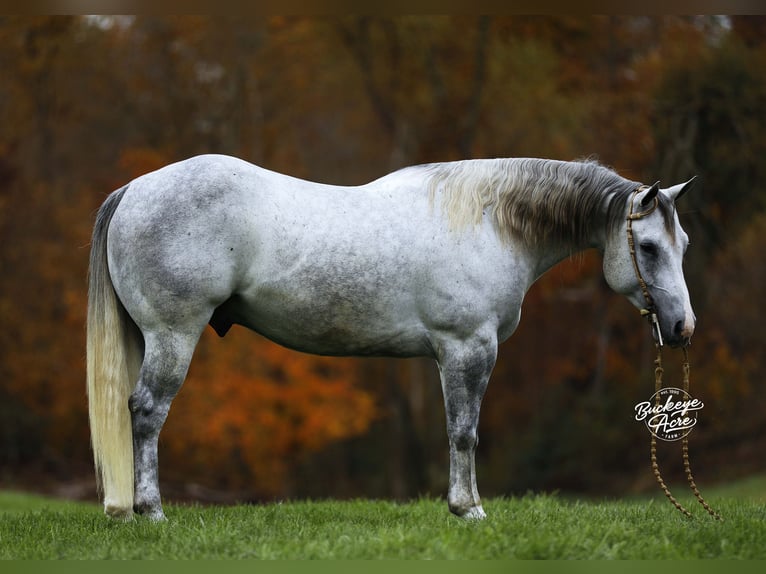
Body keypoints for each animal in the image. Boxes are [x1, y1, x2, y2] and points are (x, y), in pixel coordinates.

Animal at [87, 154, 696, 521]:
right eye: (647, 247)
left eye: (683, 243)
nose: (682, 327)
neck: (488, 222)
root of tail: (134, 190)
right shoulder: (468, 349)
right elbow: (464, 433)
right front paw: (467, 510)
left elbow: (459, 432)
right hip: (172, 335)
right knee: (146, 412)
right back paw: (151, 511)